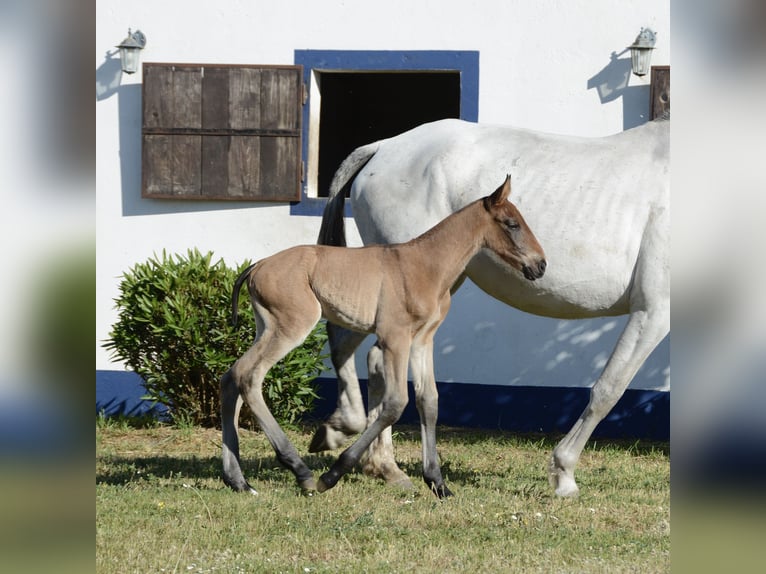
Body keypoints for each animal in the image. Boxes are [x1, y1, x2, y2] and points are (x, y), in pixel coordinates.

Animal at [316, 117, 668, 500]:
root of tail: (383, 147)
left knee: (372, 358)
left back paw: (383, 465)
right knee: (361, 352)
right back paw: (348, 436)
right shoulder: (653, 311)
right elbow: (609, 388)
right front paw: (563, 475)